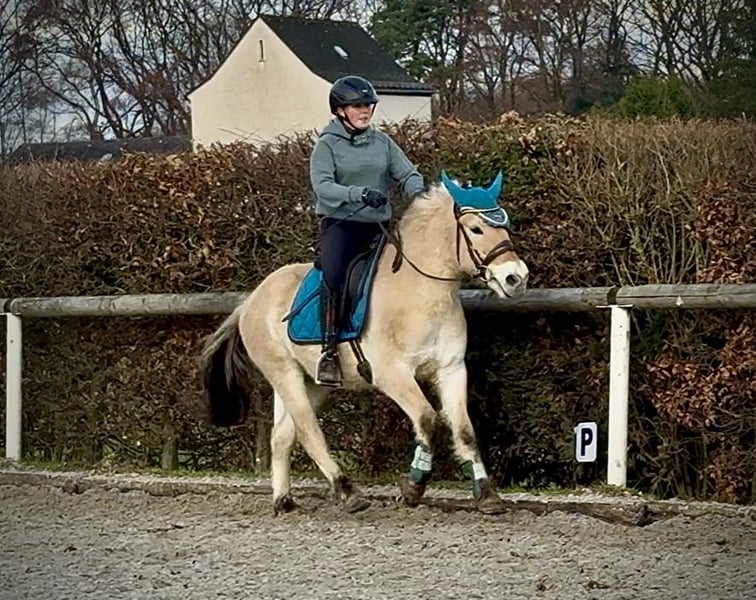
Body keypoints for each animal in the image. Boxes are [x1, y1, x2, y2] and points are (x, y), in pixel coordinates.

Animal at [200, 172, 529, 515]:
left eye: (504, 224)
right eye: (476, 228)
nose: (516, 278)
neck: (420, 292)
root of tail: (251, 300)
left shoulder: (450, 369)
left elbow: (464, 430)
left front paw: (486, 494)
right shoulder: (392, 374)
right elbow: (427, 419)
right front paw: (413, 487)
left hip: (312, 381)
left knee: (283, 435)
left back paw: (283, 500)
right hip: (283, 372)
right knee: (308, 430)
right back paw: (347, 491)